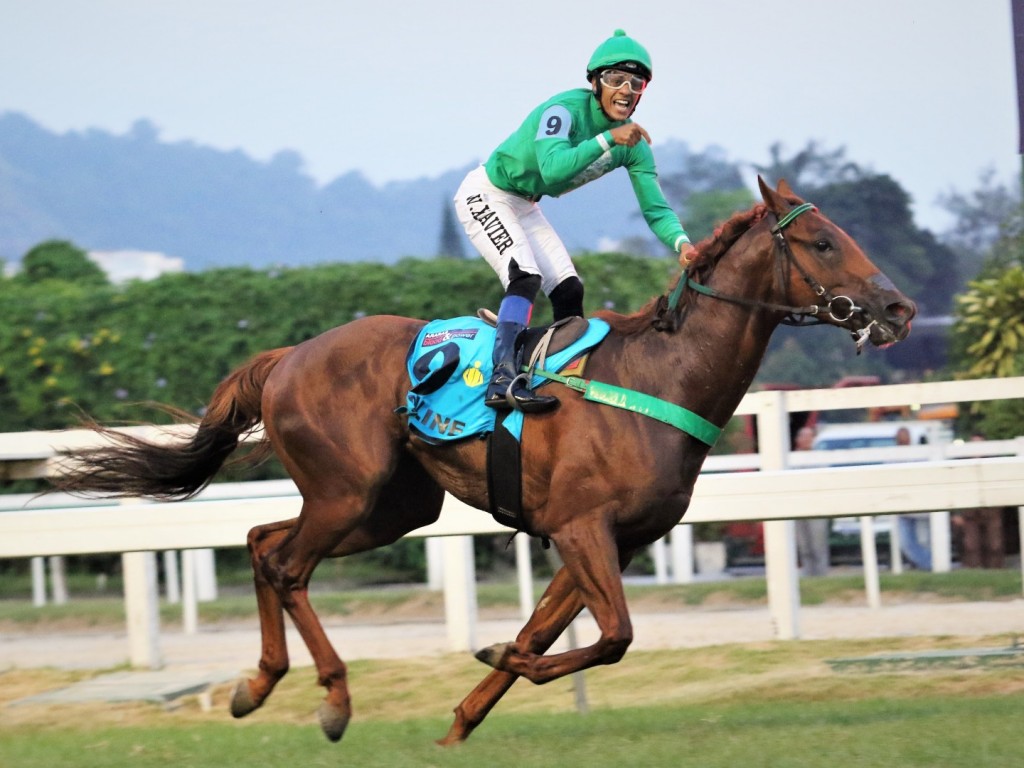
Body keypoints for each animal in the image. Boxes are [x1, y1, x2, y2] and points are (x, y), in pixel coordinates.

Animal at [51, 179, 917, 745]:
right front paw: (496, 660)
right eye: (822, 242)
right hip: (347, 491)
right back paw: (333, 699)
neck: (659, 376)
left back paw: (257, 683)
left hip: (393, 507)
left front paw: (465, 716)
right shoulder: (580, 527)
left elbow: (551, 635)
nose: (898, 307)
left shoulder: (605, 540)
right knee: (289, 566)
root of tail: (287, 357)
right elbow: (612, 636)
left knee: (263, 544)